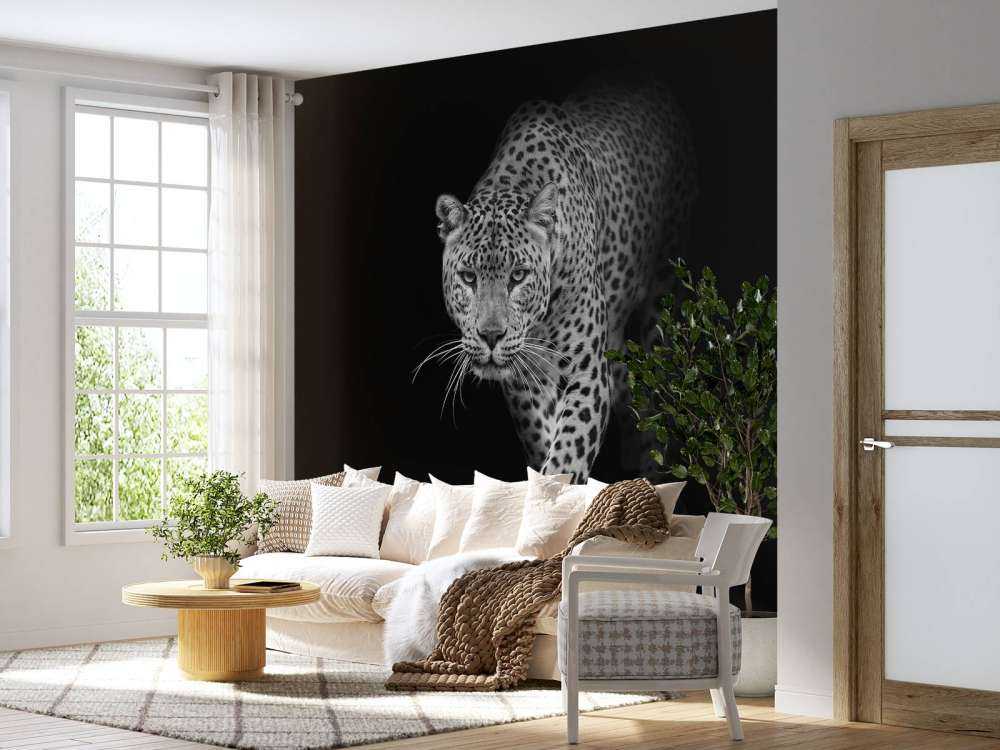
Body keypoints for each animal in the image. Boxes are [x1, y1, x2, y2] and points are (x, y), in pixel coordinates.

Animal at [430, 81, 697, 482]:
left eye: (518, 276)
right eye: (468, 277)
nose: (491, 336)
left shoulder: (587, 375)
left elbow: (567, 454)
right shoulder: (524, 383)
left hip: (664, 298)